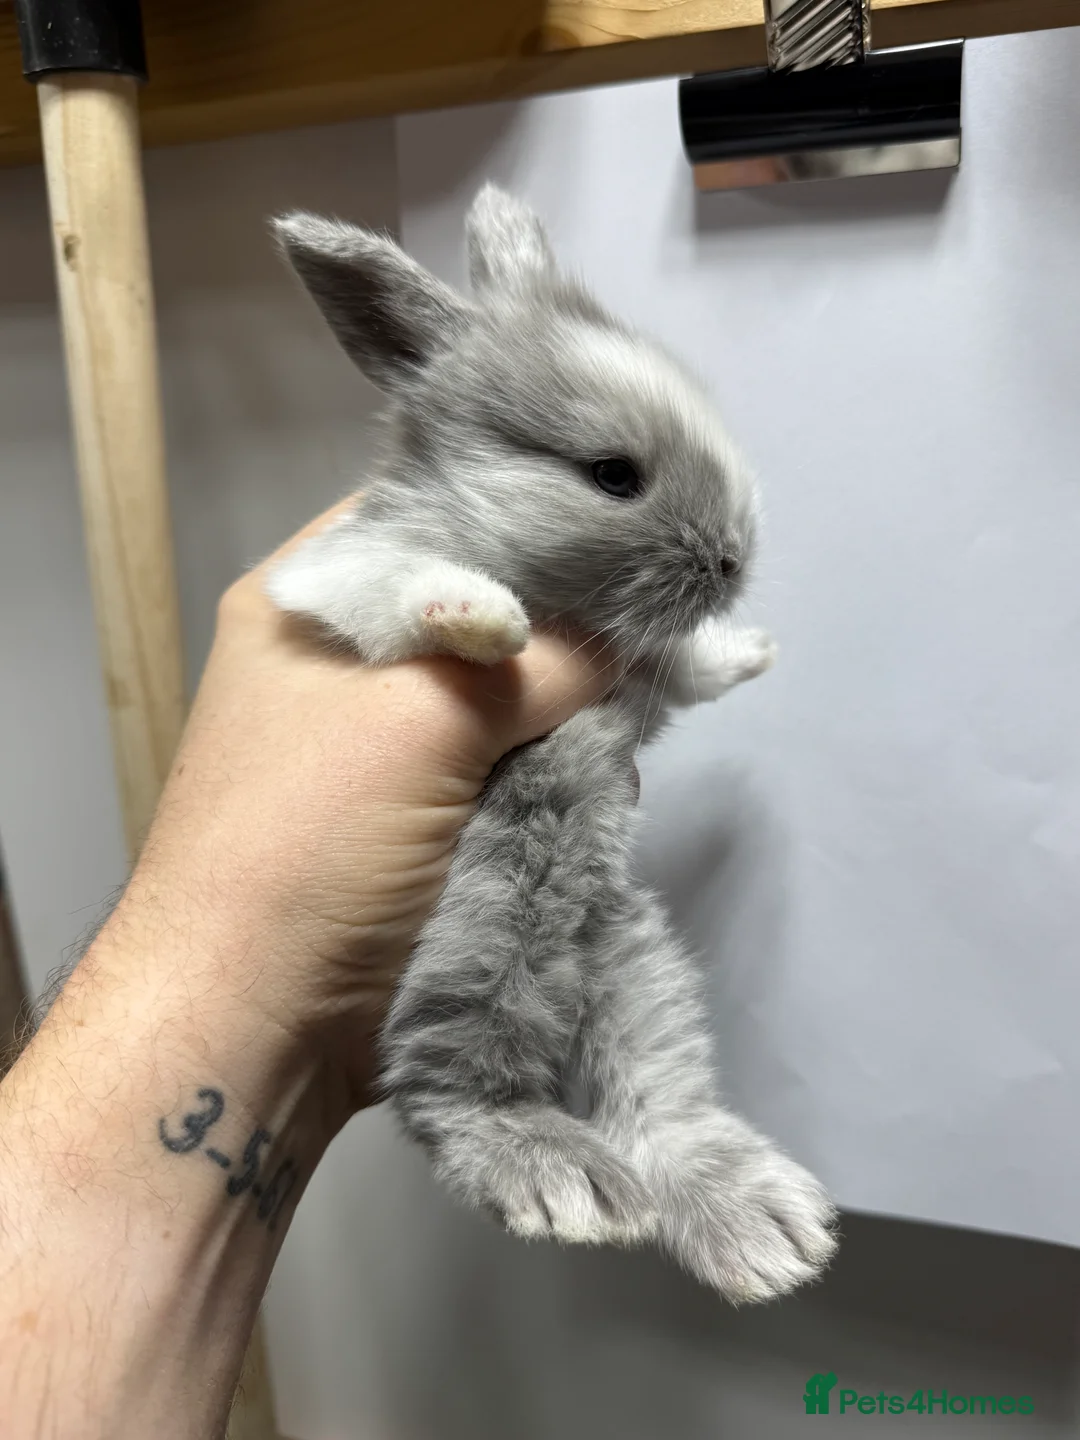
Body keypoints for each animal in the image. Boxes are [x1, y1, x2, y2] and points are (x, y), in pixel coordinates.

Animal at [267, 185, 837, 1302]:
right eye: (613, 475)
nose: (733, 560)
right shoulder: (338, 579)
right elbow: (404, 589)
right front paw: (488, 619)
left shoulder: (641, 681)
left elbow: (688, 672)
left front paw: (750, 649)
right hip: (467, 967)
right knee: (454, 1096)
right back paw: (563, 1182)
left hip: (633, 966)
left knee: (663, 1109)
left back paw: (766, 1233)